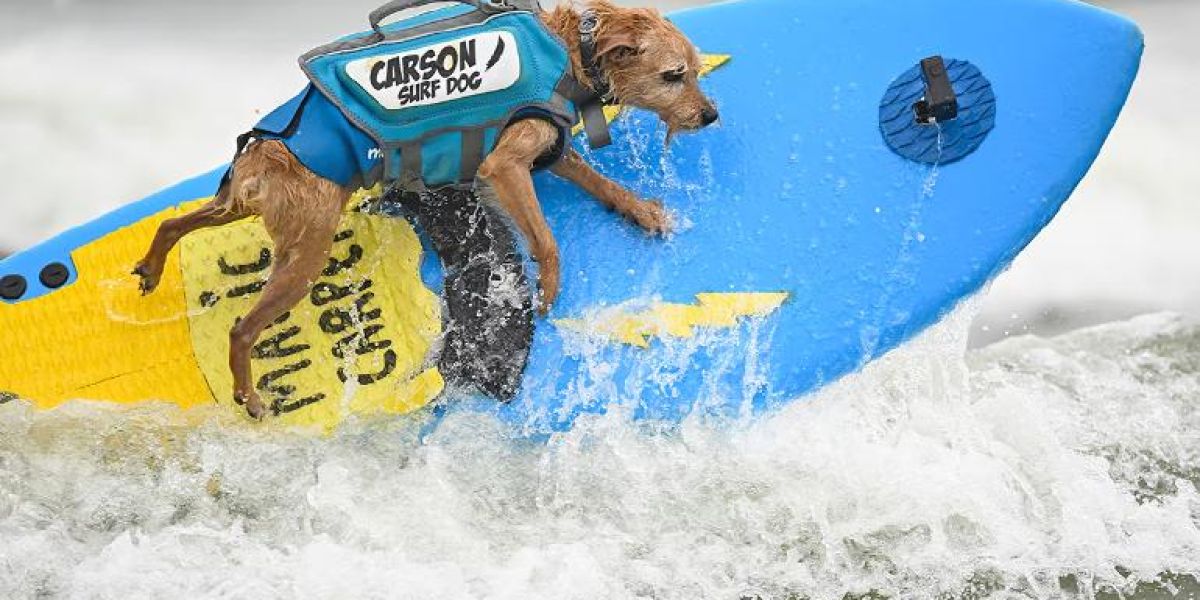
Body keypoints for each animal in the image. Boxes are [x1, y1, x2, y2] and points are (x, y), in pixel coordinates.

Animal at [131, 0, 715, 417]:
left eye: (693, 70)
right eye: (674, 74)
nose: (711, 115)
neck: (570, 51)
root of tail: (265, 153)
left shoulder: (552, 147)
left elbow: (601, 184)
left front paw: (642, 212)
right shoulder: (504, 166)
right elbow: (546, 240)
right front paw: (548, 285)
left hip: (243, 210)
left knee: (173, 222)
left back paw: (152, 267)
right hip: (304, 255)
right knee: (241, 330)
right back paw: (249, 394)